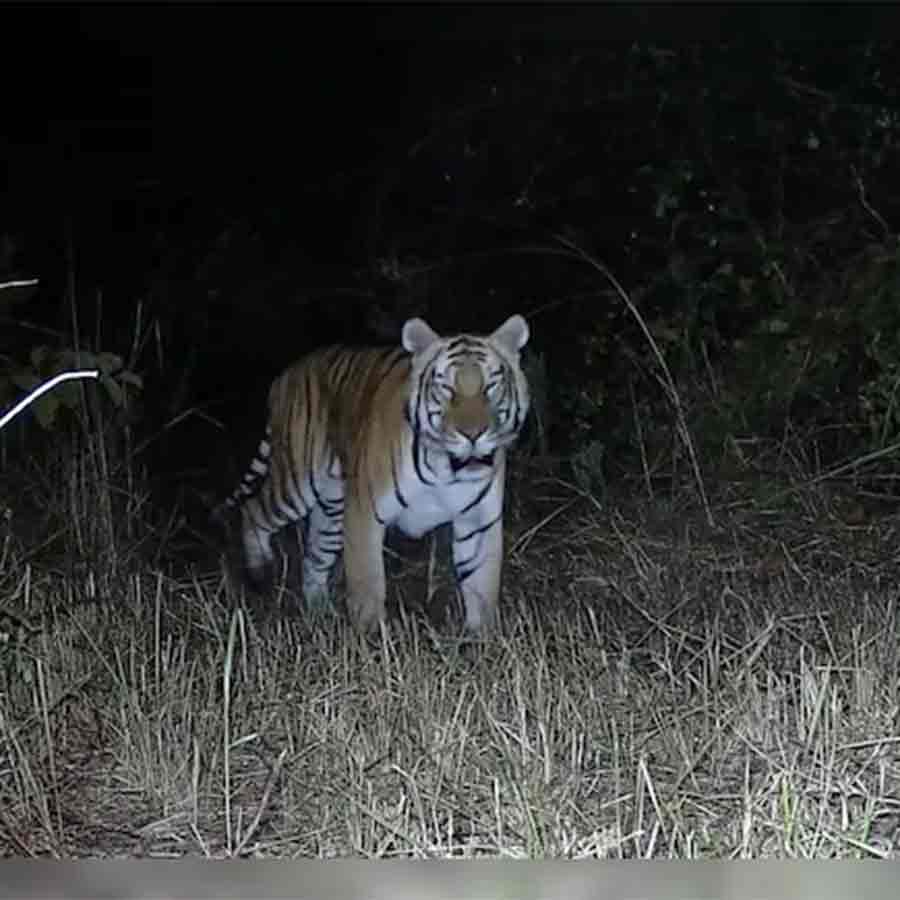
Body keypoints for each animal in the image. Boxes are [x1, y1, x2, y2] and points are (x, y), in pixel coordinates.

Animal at [220, 313, 530, 634]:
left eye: (491, 385)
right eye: (446, 388)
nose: (473, 434)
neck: (448, 469)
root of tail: (286, 374)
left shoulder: (479, 521)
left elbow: (482, 589)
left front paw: (483, 638)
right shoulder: (364, 513)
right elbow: (367, 584)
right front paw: (370, 638)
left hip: (332, 508)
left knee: (314, 556)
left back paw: (318, 612)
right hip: (297, 482)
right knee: (253, 509)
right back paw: (260, 573)